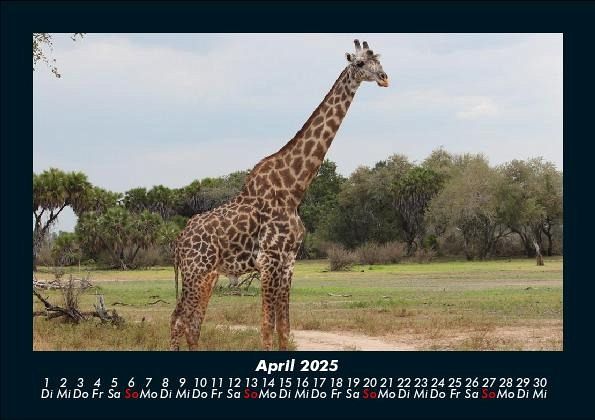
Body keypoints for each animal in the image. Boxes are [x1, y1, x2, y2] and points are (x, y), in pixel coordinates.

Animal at [170, 39, 389, 351]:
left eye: (379, 61)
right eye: (359, 63)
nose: (384, 78)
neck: (293, 188)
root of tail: (179, 241)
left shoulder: (288, 262)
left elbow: (284, 328)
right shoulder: (269, 260)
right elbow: (266, 328)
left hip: (206, 275)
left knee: (192, 324)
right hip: (195, 271)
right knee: (178, 321)